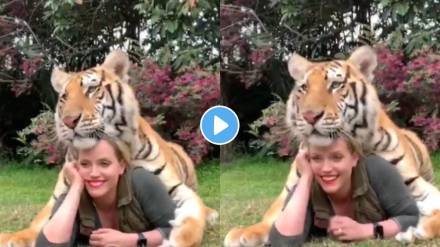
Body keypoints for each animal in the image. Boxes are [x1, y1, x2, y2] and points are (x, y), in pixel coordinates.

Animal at [0, 49, 217, 247]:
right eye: (64, 97)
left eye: (91, 89)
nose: (69, 121)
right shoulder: (57, 198)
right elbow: (38, 224)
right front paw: (14, 238)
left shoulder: (176, 190)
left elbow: (191, 219)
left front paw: (175, 238)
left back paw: (211, 214)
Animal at [225, 45, 438, 245]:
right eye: (304, 88)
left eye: (335, 85)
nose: (310, 116)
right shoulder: (289, 191)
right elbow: (272, 218)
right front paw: (244, 233)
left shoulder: (414, 185)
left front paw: (418, 230)